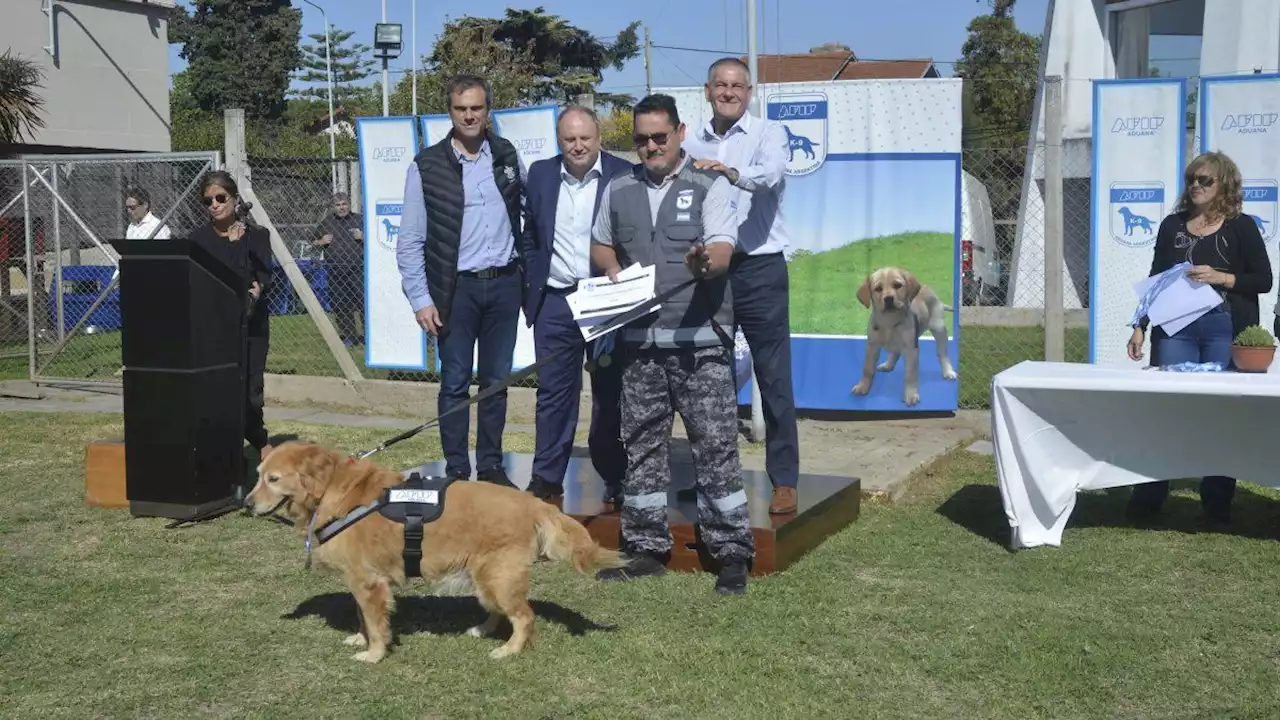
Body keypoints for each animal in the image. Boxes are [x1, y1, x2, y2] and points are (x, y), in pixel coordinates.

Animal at [855, 266, 957, 407]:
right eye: (878, 289)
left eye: (898, 285)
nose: (888, 299)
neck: (889, 322)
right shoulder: (872, 346)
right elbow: (867, 369)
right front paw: (862, 386)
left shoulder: (911, 349)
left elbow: (910, 375)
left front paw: (911, 394)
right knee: (896, 352)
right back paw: (888, 365)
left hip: (939, 328)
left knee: (943, 354)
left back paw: (948, 371)